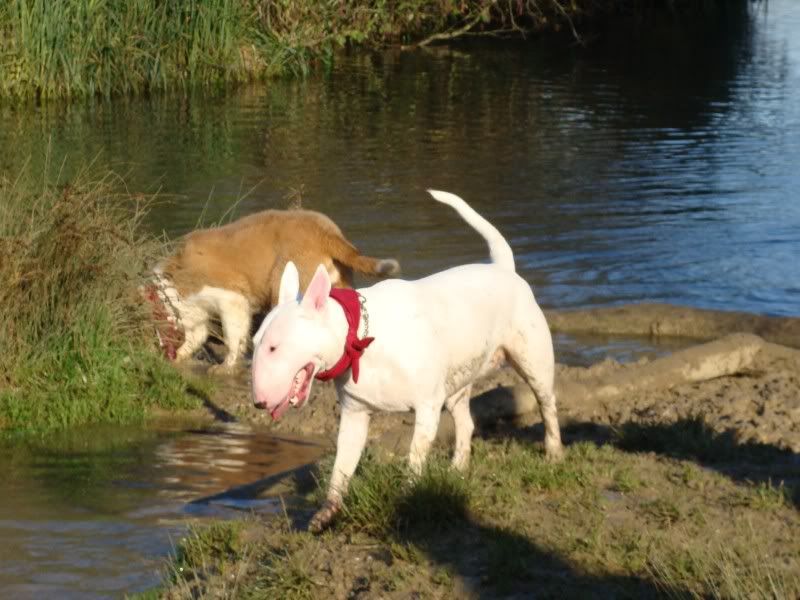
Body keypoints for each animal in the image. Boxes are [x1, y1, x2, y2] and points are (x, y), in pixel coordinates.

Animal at [145, 209, 398, 372]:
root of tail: (326, 233)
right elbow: (197, 336)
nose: (159, 352)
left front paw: (226, 366)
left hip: (283, 287)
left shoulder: (230, 299)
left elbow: (233, 335)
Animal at [252, 189, 564, 528]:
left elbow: (415, 456)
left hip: (532, 362)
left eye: (274, 347)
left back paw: (554, 453)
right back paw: (458, 469)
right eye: (254, 344)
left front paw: (407, 496)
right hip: (456, 382)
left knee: (547, 405)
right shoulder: (355, 414)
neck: (361, 337)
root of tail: (503, 269)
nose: (258, 402)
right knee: (466, 423)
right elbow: (341, 467)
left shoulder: (427, 406)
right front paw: (326, 512)